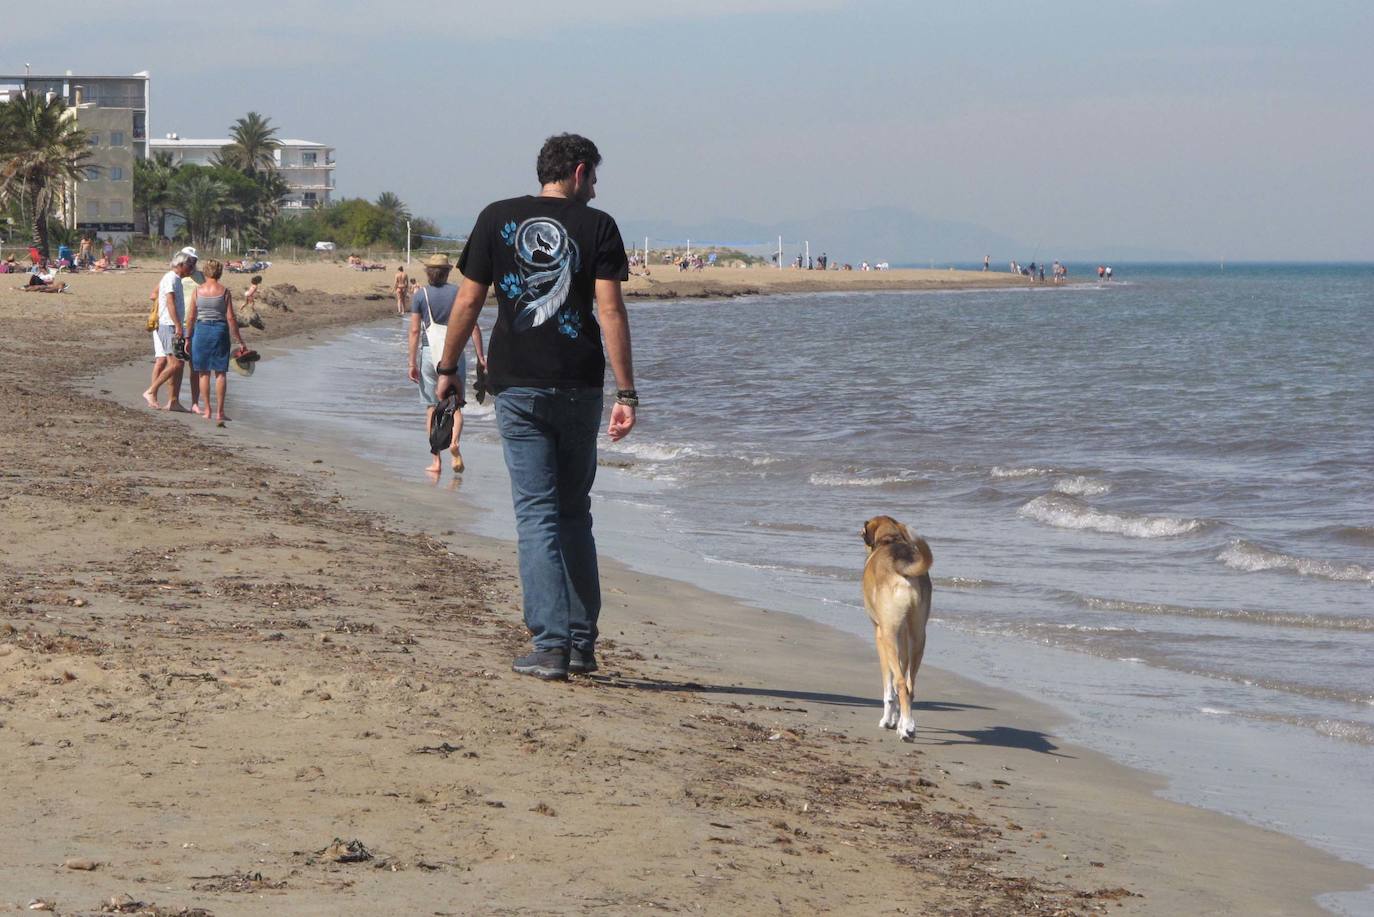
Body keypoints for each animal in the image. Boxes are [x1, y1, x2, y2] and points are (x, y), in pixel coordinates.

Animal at [857, 516, 934, 736]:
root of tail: (903, 566)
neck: (890, 540)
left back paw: (906, 727)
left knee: (899, 683)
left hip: (888, 635)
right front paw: (897, 721)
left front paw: (888, 720)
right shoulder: (904, 638)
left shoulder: (879, 633)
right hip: (918, 636)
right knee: (910, 685)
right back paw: (907, 725)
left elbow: (888, 688)